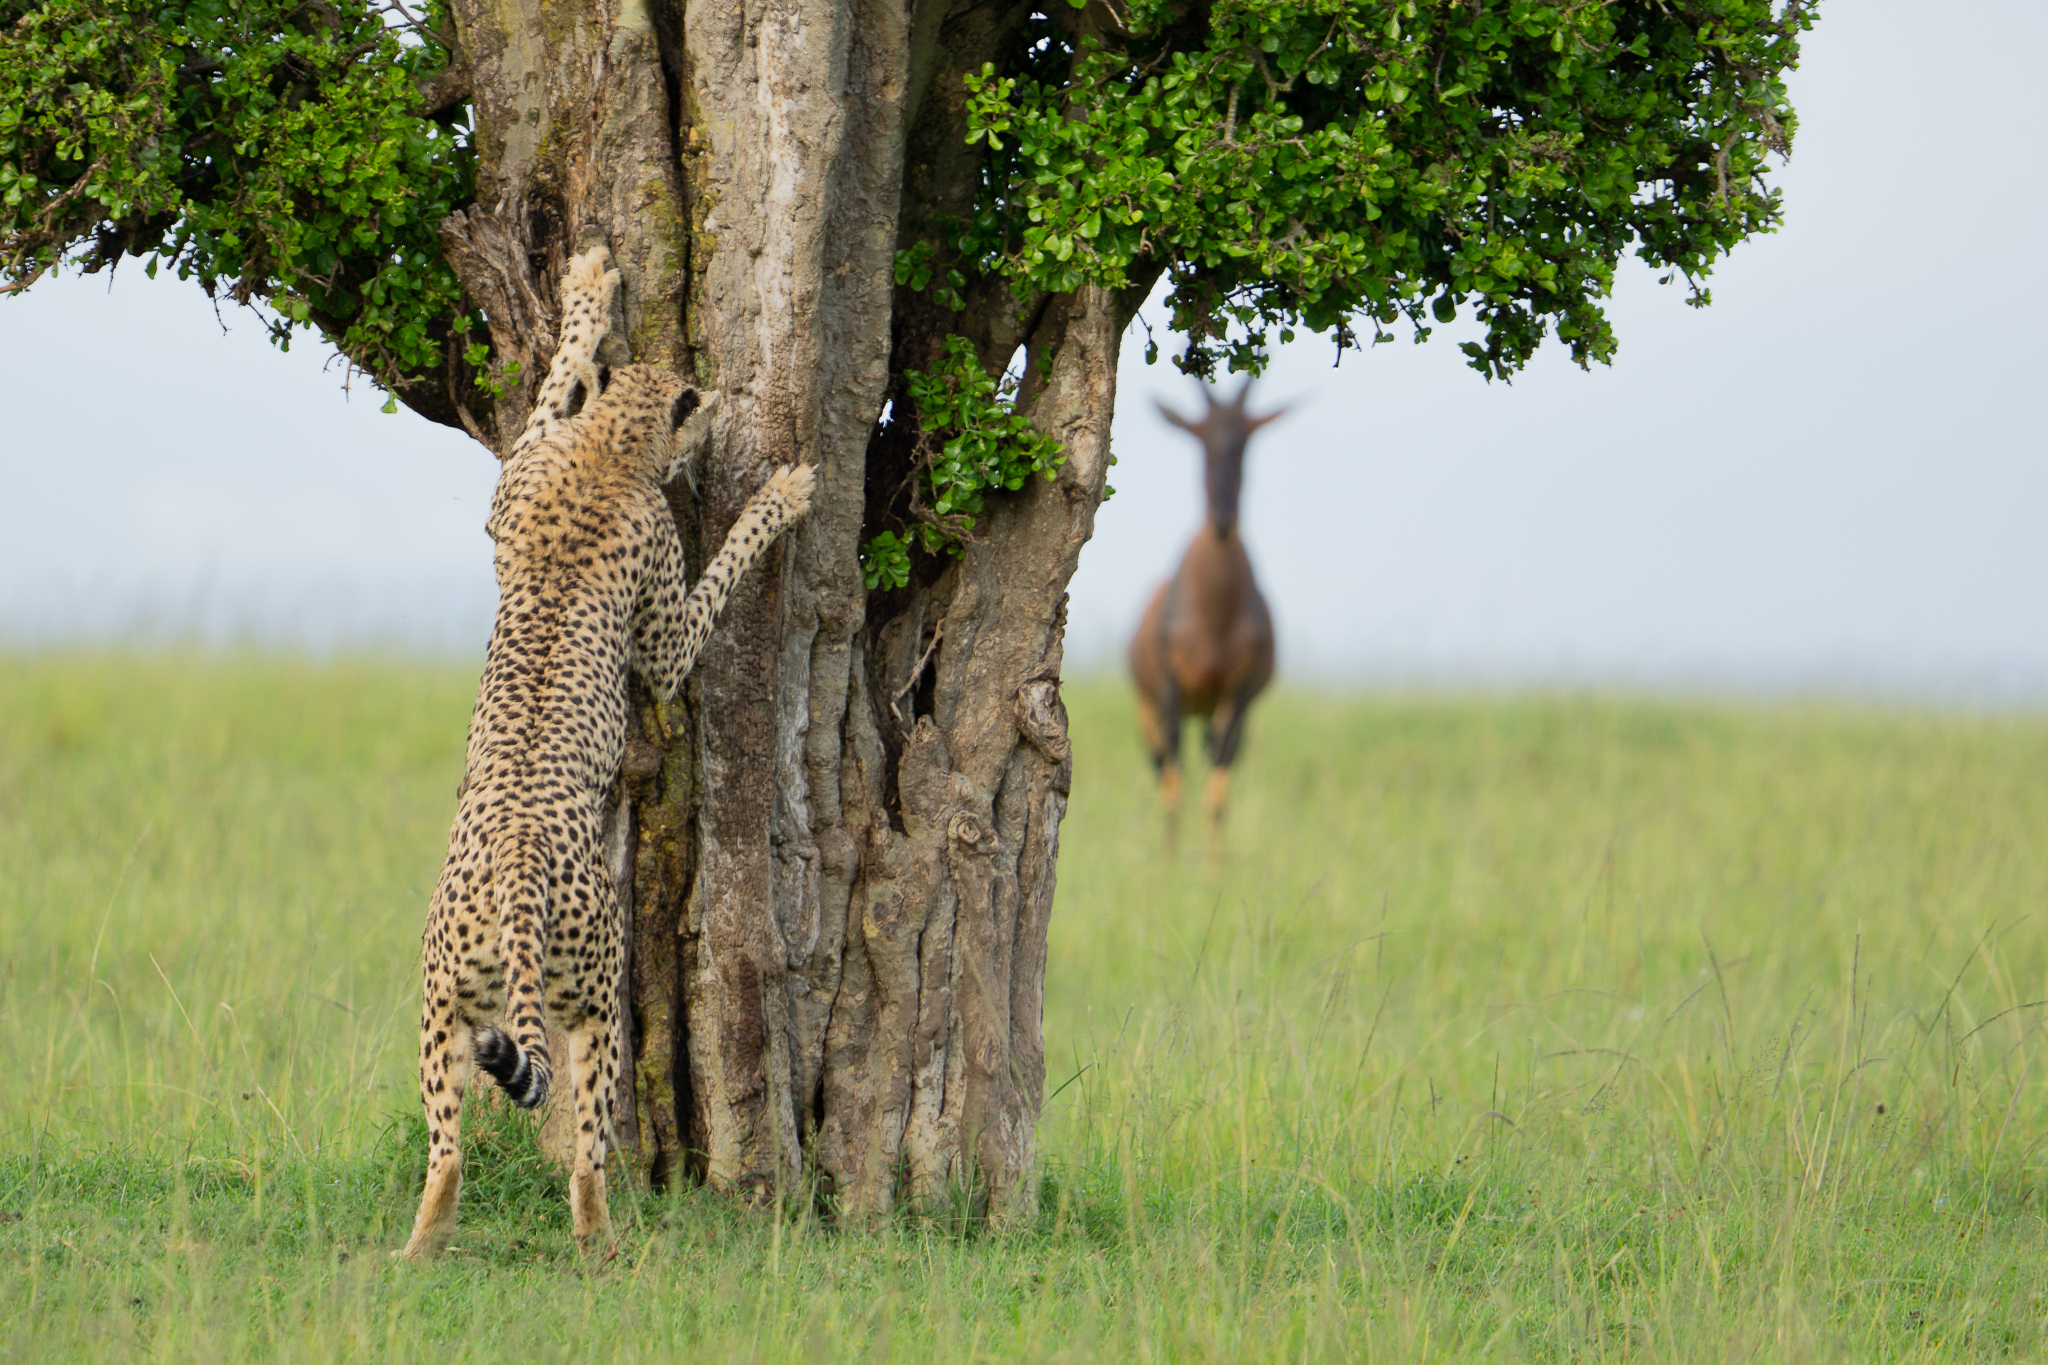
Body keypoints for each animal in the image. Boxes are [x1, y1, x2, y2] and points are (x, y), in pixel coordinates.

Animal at [399, 245, 814, 1260]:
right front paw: (779, 497)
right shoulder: (661, 639)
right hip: (594, 996)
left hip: (442, 1005)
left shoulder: (512, 483)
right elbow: (716, 579)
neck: (610, 451)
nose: (717, 421)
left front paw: (587, 293)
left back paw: (421, 1244)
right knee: (588, 1143)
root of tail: (516, 866)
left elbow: (556, 381)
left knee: (447, 1147)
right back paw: (602, 1245)